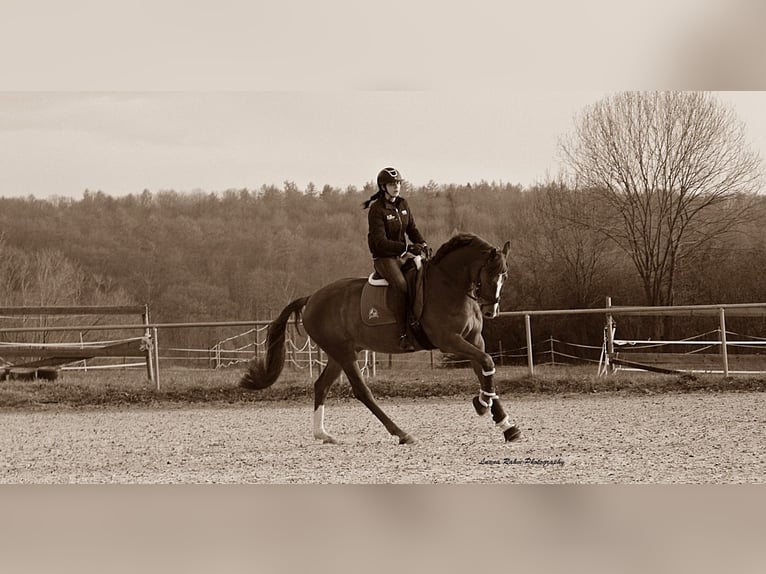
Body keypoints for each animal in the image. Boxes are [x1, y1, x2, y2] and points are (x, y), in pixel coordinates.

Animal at [243, 233, 524, 446]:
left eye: (506, 276)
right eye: (491, 275)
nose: (491, 311)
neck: (450, 285)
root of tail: (311, 298)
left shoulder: (474, 339)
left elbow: (485, 369)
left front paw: (505, 424)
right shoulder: (449, 340)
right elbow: (487, 362)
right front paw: (482, 404)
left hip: (340, 353)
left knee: (321, 385)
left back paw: (322, 434)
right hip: (344, 353)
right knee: (362, 392)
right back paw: (402, 433)